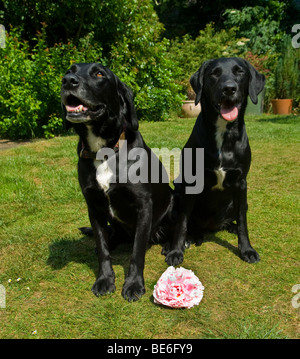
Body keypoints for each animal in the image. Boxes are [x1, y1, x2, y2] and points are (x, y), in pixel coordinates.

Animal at [60, 63, 171, 302]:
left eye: (99, 73)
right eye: (70, 69)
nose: (68, 81)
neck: (103, 151)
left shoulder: (143, 207)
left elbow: (137, 252)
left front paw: (134, 284)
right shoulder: (94, 207)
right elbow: (102, 249)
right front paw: (104, 279)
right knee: (110, 237)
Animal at [164, 57, 264, 268]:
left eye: (240, 72)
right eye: (214, 73)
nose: (229, 88)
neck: (223, 133)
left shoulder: (241, 183)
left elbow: (243, 221)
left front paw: (247, 250)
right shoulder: (190, 183)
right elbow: (182, 222)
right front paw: (176, 250)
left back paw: (229, 227)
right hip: (177, 193)